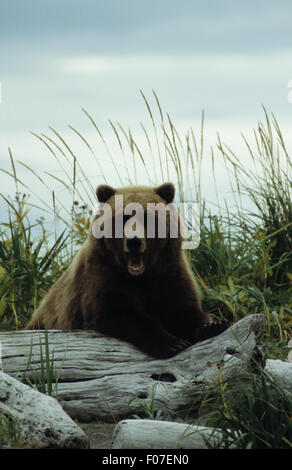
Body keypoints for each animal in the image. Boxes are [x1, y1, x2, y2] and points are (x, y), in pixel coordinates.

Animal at [25, 182, 228, 358]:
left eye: (147, 217)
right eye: (123, 217)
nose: (134, 241)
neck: (140, 276)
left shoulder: (169, 273)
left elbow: (182, 308)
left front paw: (214, 325)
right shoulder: (102, 275)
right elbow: (119, 313)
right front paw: (173, 344)